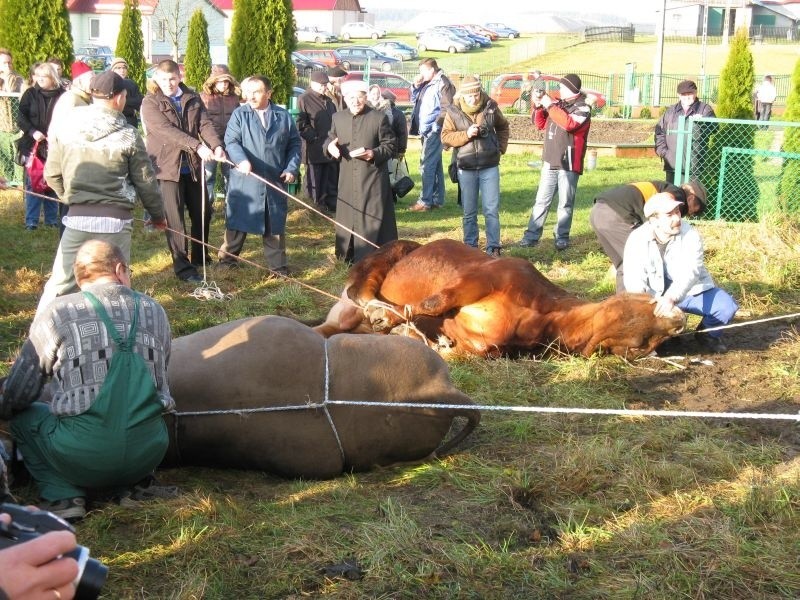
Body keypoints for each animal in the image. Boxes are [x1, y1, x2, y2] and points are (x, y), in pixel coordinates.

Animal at [316, 238, 684, 360]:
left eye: (641, 345)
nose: (680, 320)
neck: (543, 315)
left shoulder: (483, 347)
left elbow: (455, 351)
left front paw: (418, 337)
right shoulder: (484, 278)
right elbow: (432, 303)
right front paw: (394, 319)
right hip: (386, 257)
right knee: (362, 291)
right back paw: (377, 309)